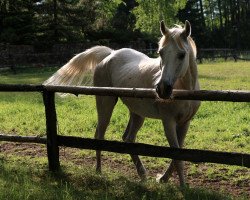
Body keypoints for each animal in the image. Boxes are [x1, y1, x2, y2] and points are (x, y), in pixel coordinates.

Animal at [44, 20, 200, 186]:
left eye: (182, 54)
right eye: (160, 53)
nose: (162, 89)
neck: (184, 89)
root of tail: (111, 54)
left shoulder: (185, 123)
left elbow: (179, 153)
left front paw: (163, 179)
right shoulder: (168, 122)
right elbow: (176, 155)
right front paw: (182, 186)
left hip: (137, 114)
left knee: (128, 138)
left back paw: (142, 175)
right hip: (105, 105)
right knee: (99, 135)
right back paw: (99, 171)